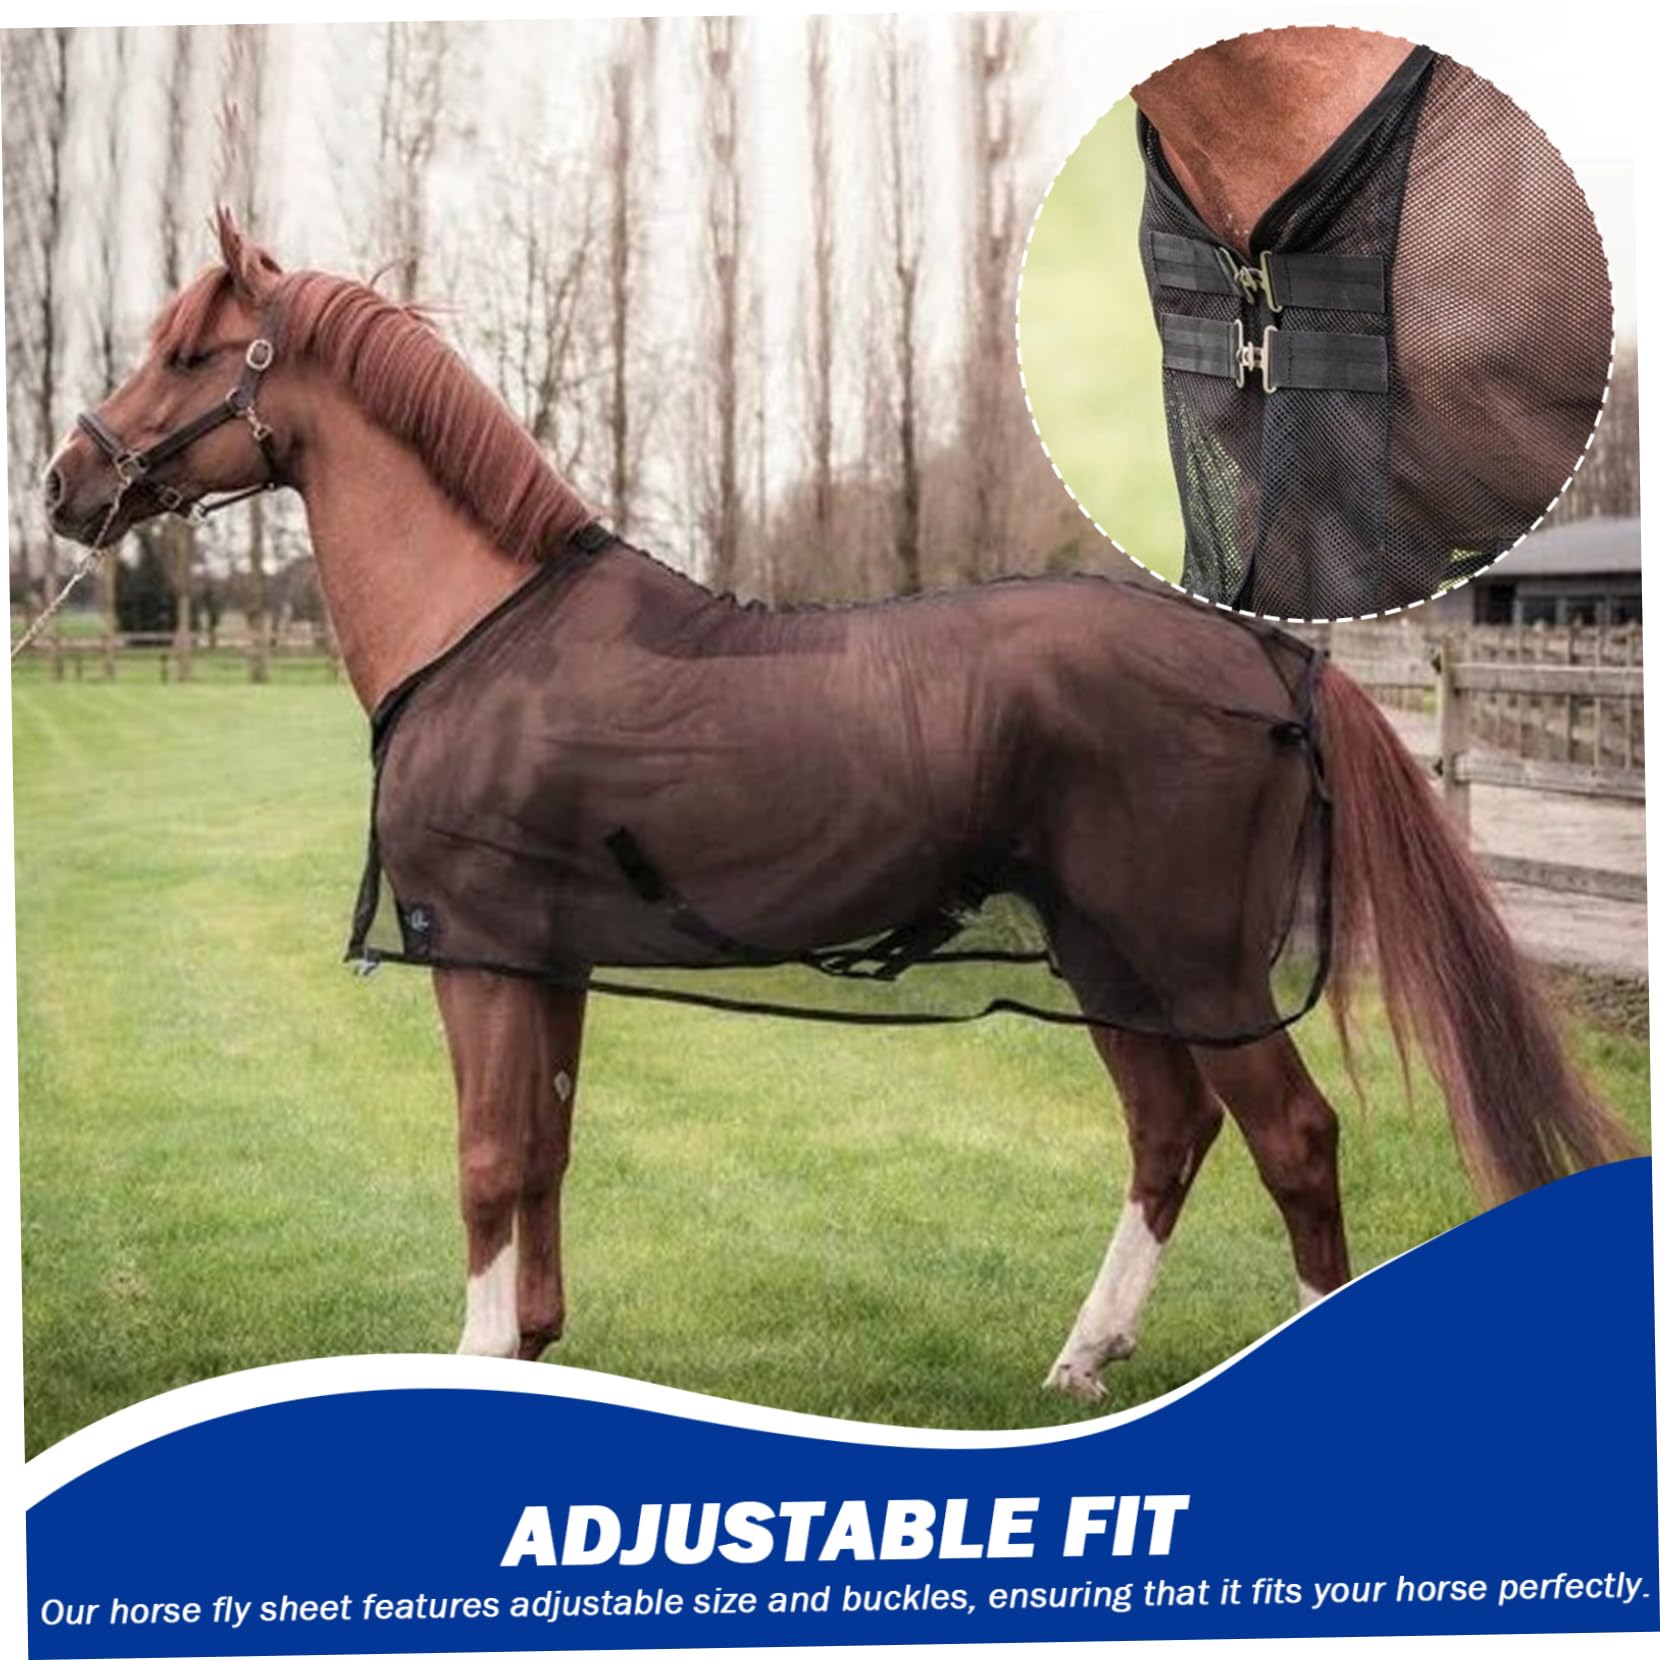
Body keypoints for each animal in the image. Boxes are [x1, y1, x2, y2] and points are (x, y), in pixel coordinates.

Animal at [43, 210, 1631, 1406]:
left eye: (187, 351)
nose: (64, 484)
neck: (483, 631)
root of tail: (1264, 650)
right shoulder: (542, 963)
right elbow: (544, 1151)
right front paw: (535, 1346)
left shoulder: (479, 956)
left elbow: (489, 1161)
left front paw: (482, 1354)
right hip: (1109, 957)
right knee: (1168, 1132)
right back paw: (1085, 1353)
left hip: (1190, 961)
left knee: (1291, 1141)